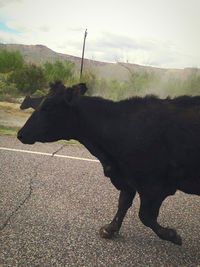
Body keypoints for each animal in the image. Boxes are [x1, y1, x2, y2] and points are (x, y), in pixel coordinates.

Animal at [17, 82, 200, 247]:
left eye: (48, 106)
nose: (20, 134)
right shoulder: (126, 179)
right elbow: (123, 204)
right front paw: (110, 229)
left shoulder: (153, 185)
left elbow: (145, 216)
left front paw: (172, 235)